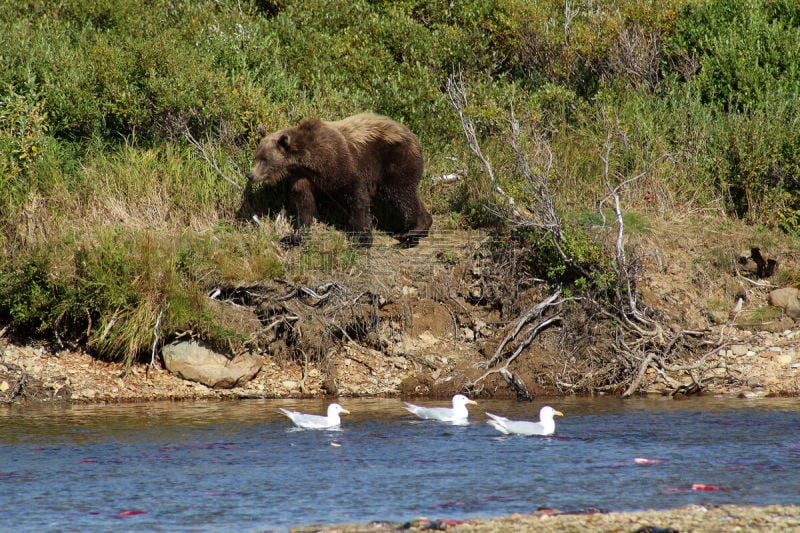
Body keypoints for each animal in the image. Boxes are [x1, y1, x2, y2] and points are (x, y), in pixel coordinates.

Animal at [245, 112, 432, 247]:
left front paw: (363, 238)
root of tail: (414, 136)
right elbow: (304, 203)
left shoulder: (338, 161)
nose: (250, 175)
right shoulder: (303, 175)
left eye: (264, 159)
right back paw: (421, 227)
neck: (309, 158)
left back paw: (410, 232)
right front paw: (293, 237)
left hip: (395, 160)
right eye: (257, 156)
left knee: (401, 193)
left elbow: (356, 194)